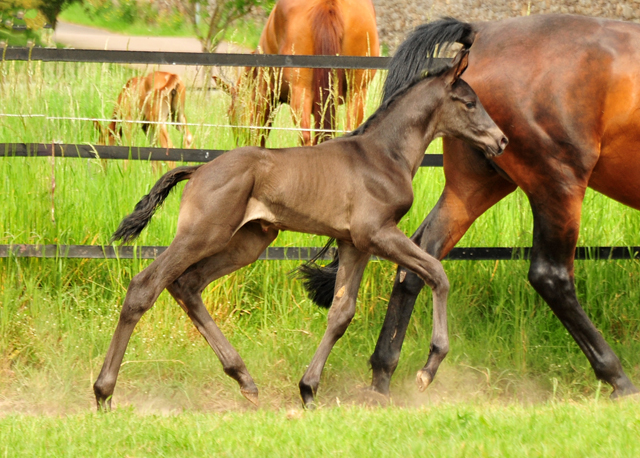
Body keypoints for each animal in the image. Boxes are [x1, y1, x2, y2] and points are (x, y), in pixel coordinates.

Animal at [92, 51, 508, 412]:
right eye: (469, 102)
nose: (501, 140)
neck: (383, 155)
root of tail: (198, 170)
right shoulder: (377, 233)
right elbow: (437, 273)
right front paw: (429, 368)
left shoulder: (354, 243)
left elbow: (342, 312)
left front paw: (308, 389)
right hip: (203, 234)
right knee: (146, 286)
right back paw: (103, 392)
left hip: (250, 241)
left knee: (187, 285)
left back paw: (244, 379)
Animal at [302, 14, 640, 398]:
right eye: (468, 103)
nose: (500, 138)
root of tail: (483, 33)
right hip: (558, 184)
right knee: (550, 275)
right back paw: (618, 378)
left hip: (474, 186)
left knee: (421, 258)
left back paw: (385, 373)